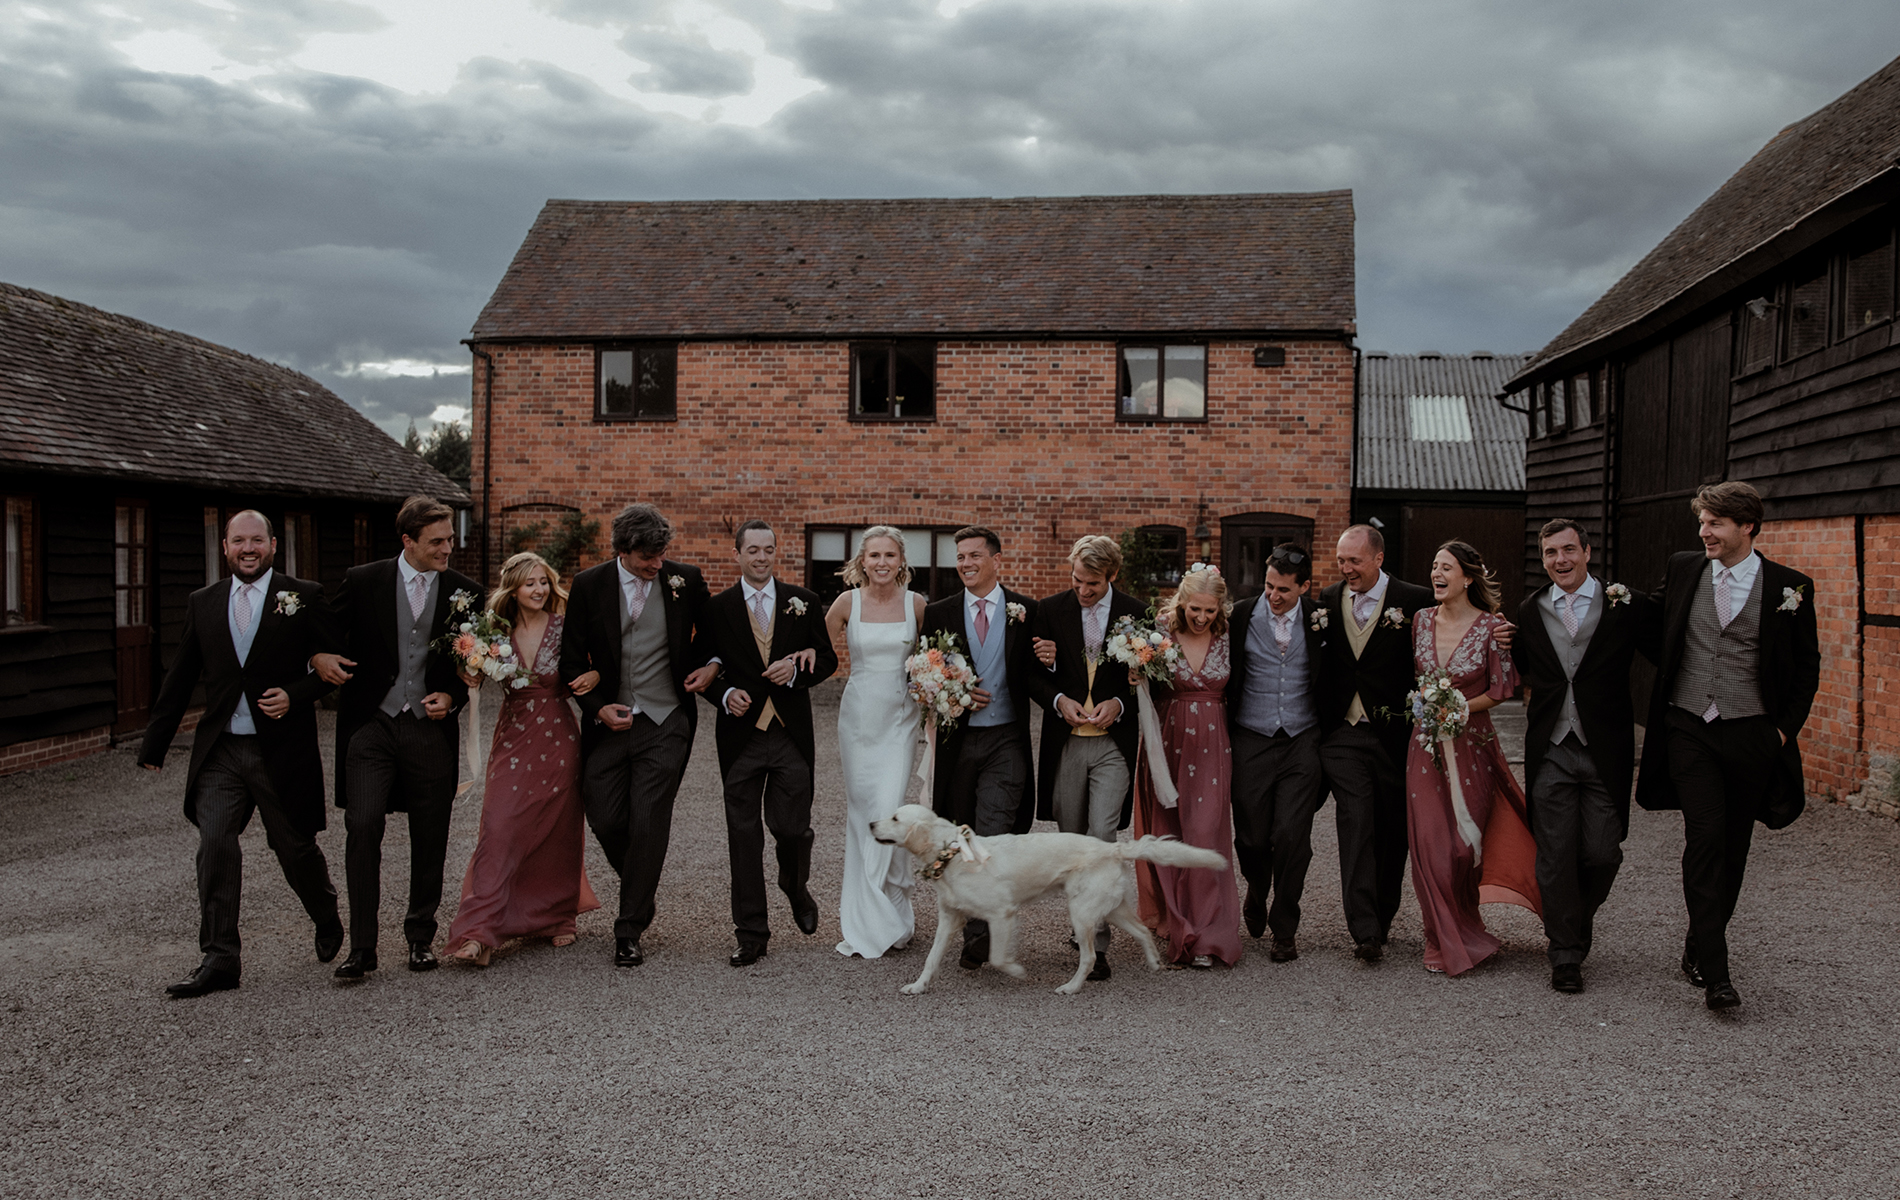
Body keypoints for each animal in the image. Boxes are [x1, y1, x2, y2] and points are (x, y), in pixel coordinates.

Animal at [870, 805, 1223, 994]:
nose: (871, 823)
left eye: (896, 818)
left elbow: (997, 957)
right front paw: (918, 986)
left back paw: (1071, 987)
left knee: (1089, 957)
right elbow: (931, 958)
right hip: (1111, 909)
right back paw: (1154, 963)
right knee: (1143, 931)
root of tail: (1112, 847)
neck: (954, 854)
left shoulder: (1002, 914)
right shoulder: (949, 917)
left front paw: (1016, 971)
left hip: (1081, 914)